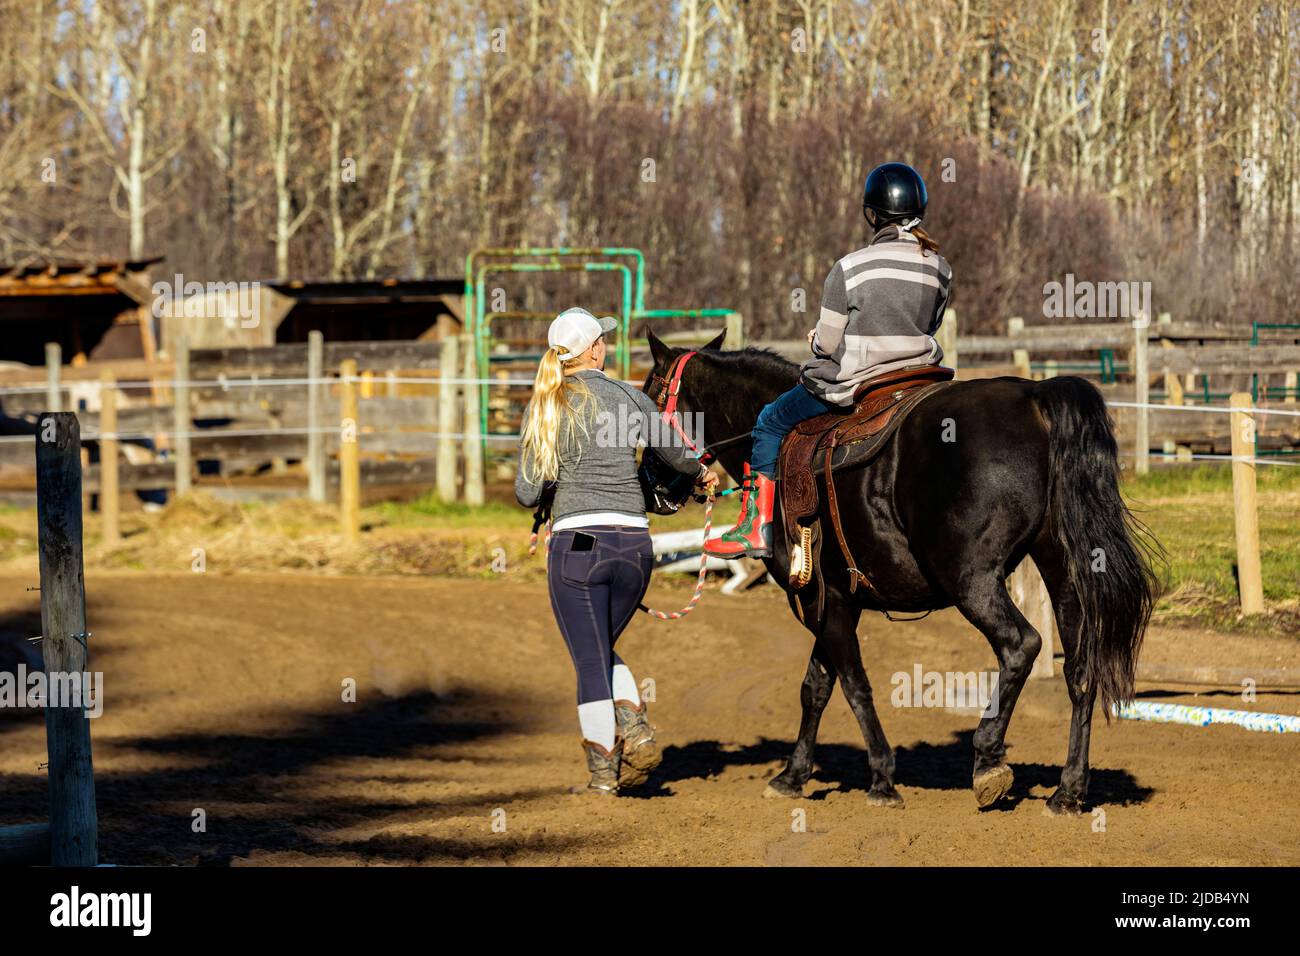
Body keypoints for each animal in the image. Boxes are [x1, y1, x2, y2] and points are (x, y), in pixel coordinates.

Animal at [644, 330, 1164, 816]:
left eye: (648, 393)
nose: (651, 485)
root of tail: (1034, 396)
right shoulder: (834, 599)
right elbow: (816, 687)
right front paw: (792, 776)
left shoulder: (822, 601)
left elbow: (853, 685)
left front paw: (881, 778)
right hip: (1064, 572)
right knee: (1081, 668)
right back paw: (1068, 791)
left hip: (970, 579)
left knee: (1021, 645)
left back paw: (989, 759)